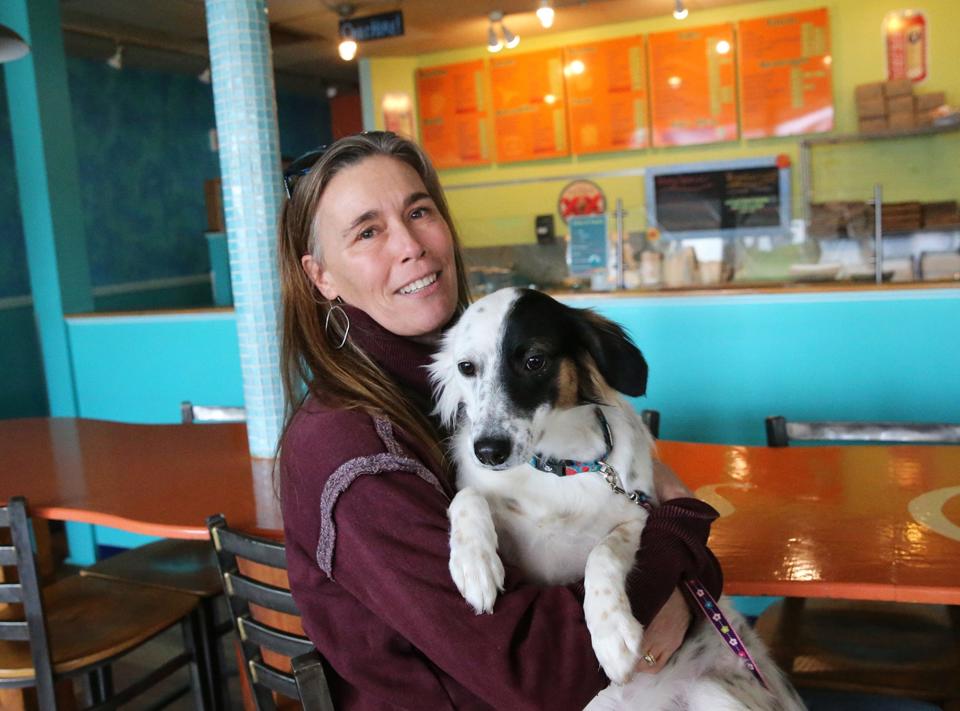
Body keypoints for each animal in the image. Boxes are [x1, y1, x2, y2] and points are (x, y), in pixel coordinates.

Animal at [432, 290, 808, 711]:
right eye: (466, 367)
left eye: (534, 361)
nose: (488, 451)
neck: (556, 468)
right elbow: (467, 496)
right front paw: (473, 564)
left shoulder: (637, 515)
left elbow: (604, 553)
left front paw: (612, 632)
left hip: (713, 693)